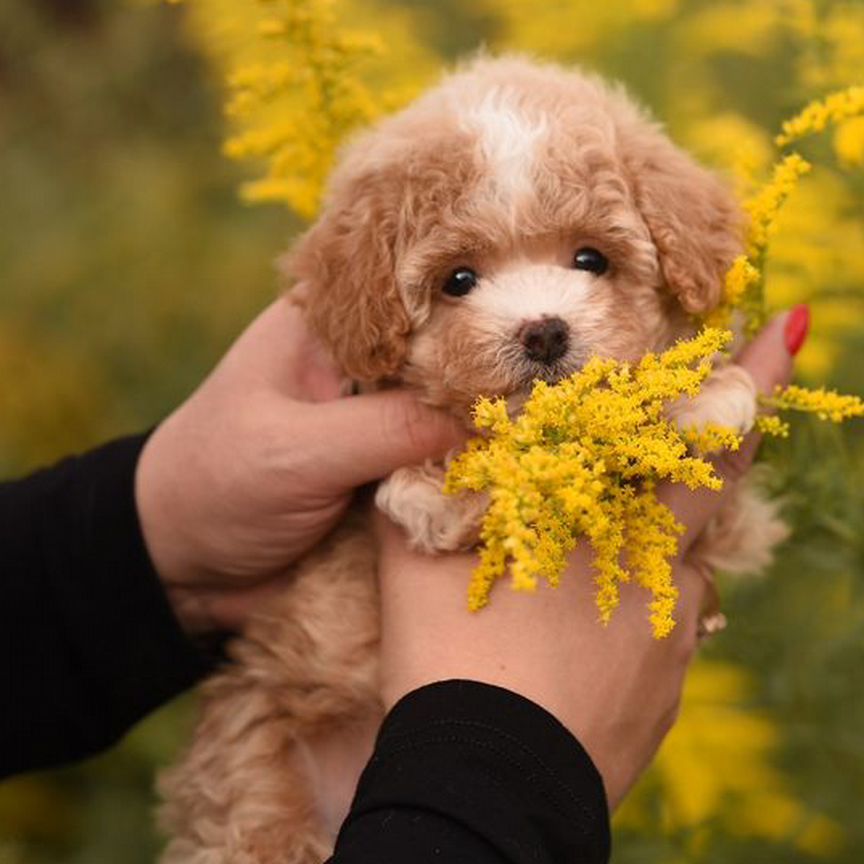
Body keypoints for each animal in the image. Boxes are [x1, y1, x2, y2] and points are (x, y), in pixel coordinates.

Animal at [159, 57, 788, 860]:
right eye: (457, 280)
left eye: (592, 259)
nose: (544, 331)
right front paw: (444, 495)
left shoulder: (726, 530)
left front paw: (697, 398)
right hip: (256, 765)